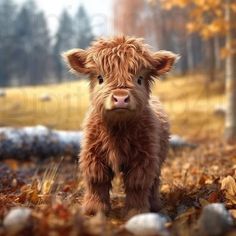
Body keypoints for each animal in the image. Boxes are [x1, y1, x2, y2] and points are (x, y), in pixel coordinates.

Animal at [64, 36, 177, 216]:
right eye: (100, 78)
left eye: (139, 79)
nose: (121, 98)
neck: (118, 128)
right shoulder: (94, 155)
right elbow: (97, 180)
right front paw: (95, 209)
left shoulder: (144, 157)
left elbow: (137, 183)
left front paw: (136, 210)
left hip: (158, 157)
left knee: (154, 181)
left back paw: (154, 205)